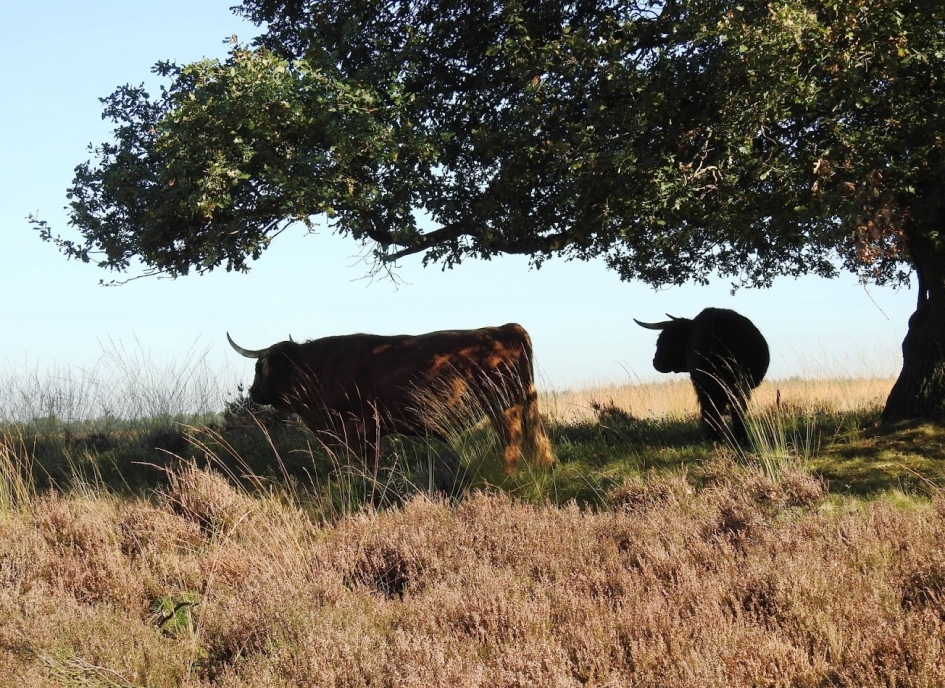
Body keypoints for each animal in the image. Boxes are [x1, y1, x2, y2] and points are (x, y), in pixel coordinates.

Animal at [227, 323, 554, 474]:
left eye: (260, 367)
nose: (254, 393)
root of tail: (503, 328)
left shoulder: (359, 426)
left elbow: (365, 462)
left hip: (505, 406)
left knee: (511, 440)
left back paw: (508, 474)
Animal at [634, 308, 770, 442]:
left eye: (663, 340)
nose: (655, 362)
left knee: (713, 407)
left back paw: (715, 436)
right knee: (735, 407)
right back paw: (739, 437)